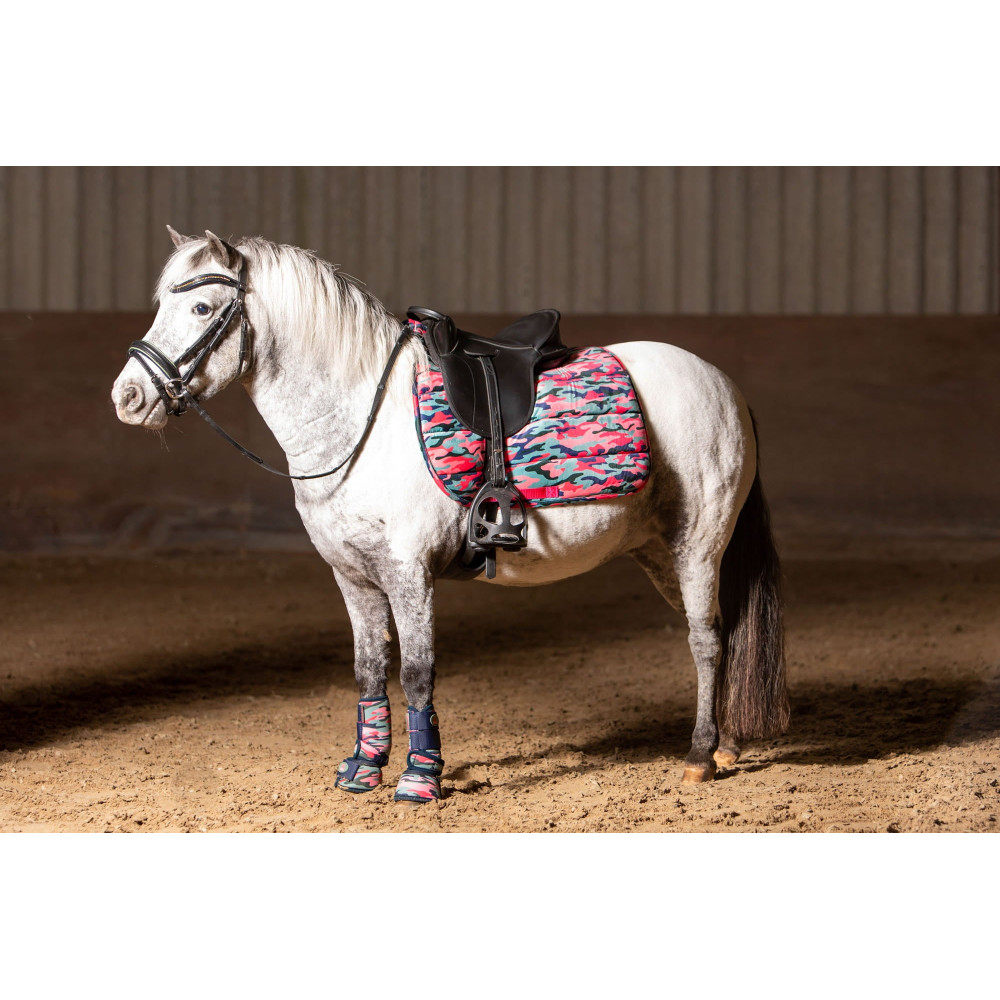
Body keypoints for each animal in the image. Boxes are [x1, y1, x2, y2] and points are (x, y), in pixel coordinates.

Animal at [111, 227, 788, 803]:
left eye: (202, 309)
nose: (128, 397)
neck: (362, 419)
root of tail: (724, 384)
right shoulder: (353, 578)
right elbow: (368, 670)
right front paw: (363, 768)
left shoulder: (409, 575)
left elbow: (416, 672)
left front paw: (419, 778)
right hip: (660, 552)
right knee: (726, 632)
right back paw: (728, 748)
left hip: (698, 545)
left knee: (705, 640)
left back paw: (700, 757)